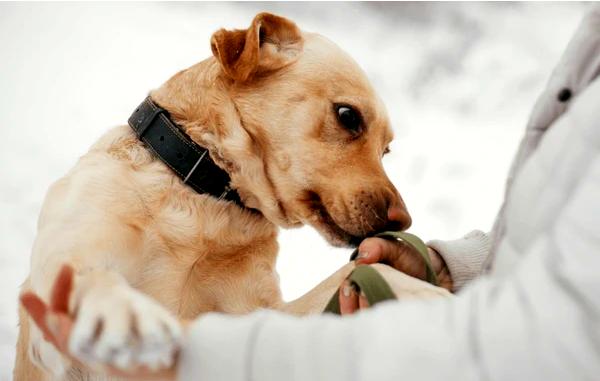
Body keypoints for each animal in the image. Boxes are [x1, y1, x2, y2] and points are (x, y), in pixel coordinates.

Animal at [14, 12, 446, 380]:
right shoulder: (64, 269)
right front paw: (123, 313)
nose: (404, 221)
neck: (207, 200)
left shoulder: (261, 317)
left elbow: (363, 272)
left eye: (386, 150)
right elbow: (90, 277)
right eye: (348, 116)